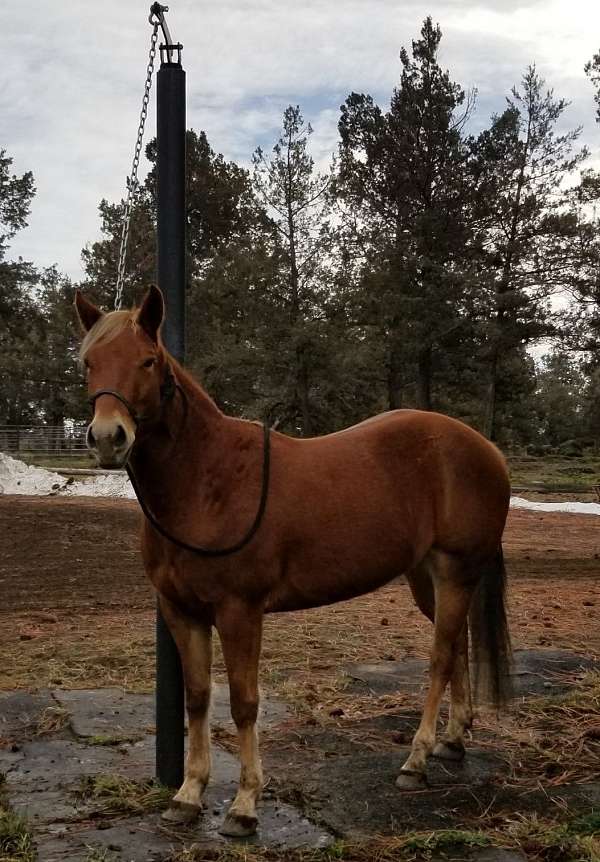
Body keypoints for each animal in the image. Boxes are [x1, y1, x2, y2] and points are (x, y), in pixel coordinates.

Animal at [75, 286, 510, 840]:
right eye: (89, 363)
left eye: (147, 361)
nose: (109, 437)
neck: (208, 482)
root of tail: (486, 448)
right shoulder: (181, 611)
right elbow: (197, 697)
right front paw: (188, 795)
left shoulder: (239, 611)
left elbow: (243, 703)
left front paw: (244, 806)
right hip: (428, 578)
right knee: (456, 646)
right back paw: (452, 740)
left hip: (455, 571)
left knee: (438, 657)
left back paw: (416, 760)